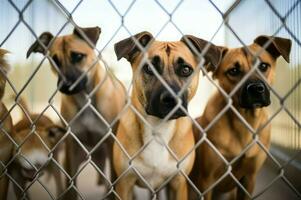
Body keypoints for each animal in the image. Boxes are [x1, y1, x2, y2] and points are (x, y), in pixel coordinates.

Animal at [26, 26, 126, 198]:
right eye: (55, 60)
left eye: (78, 56)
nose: (65, 86)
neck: (85, 100)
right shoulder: (71, 146)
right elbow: (71, 187)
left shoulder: (111, 142)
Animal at [112, 31, 223, 200]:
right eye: (149, 68)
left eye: (186, 69)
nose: (171, 99)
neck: (158, 127)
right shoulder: (125, 183)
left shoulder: (178, 184)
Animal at [190, 35, 290, 199]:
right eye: (234, 71)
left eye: (263, 66)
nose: (256, 88)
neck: (245, 120)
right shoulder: (206, 180)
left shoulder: (249, 178)